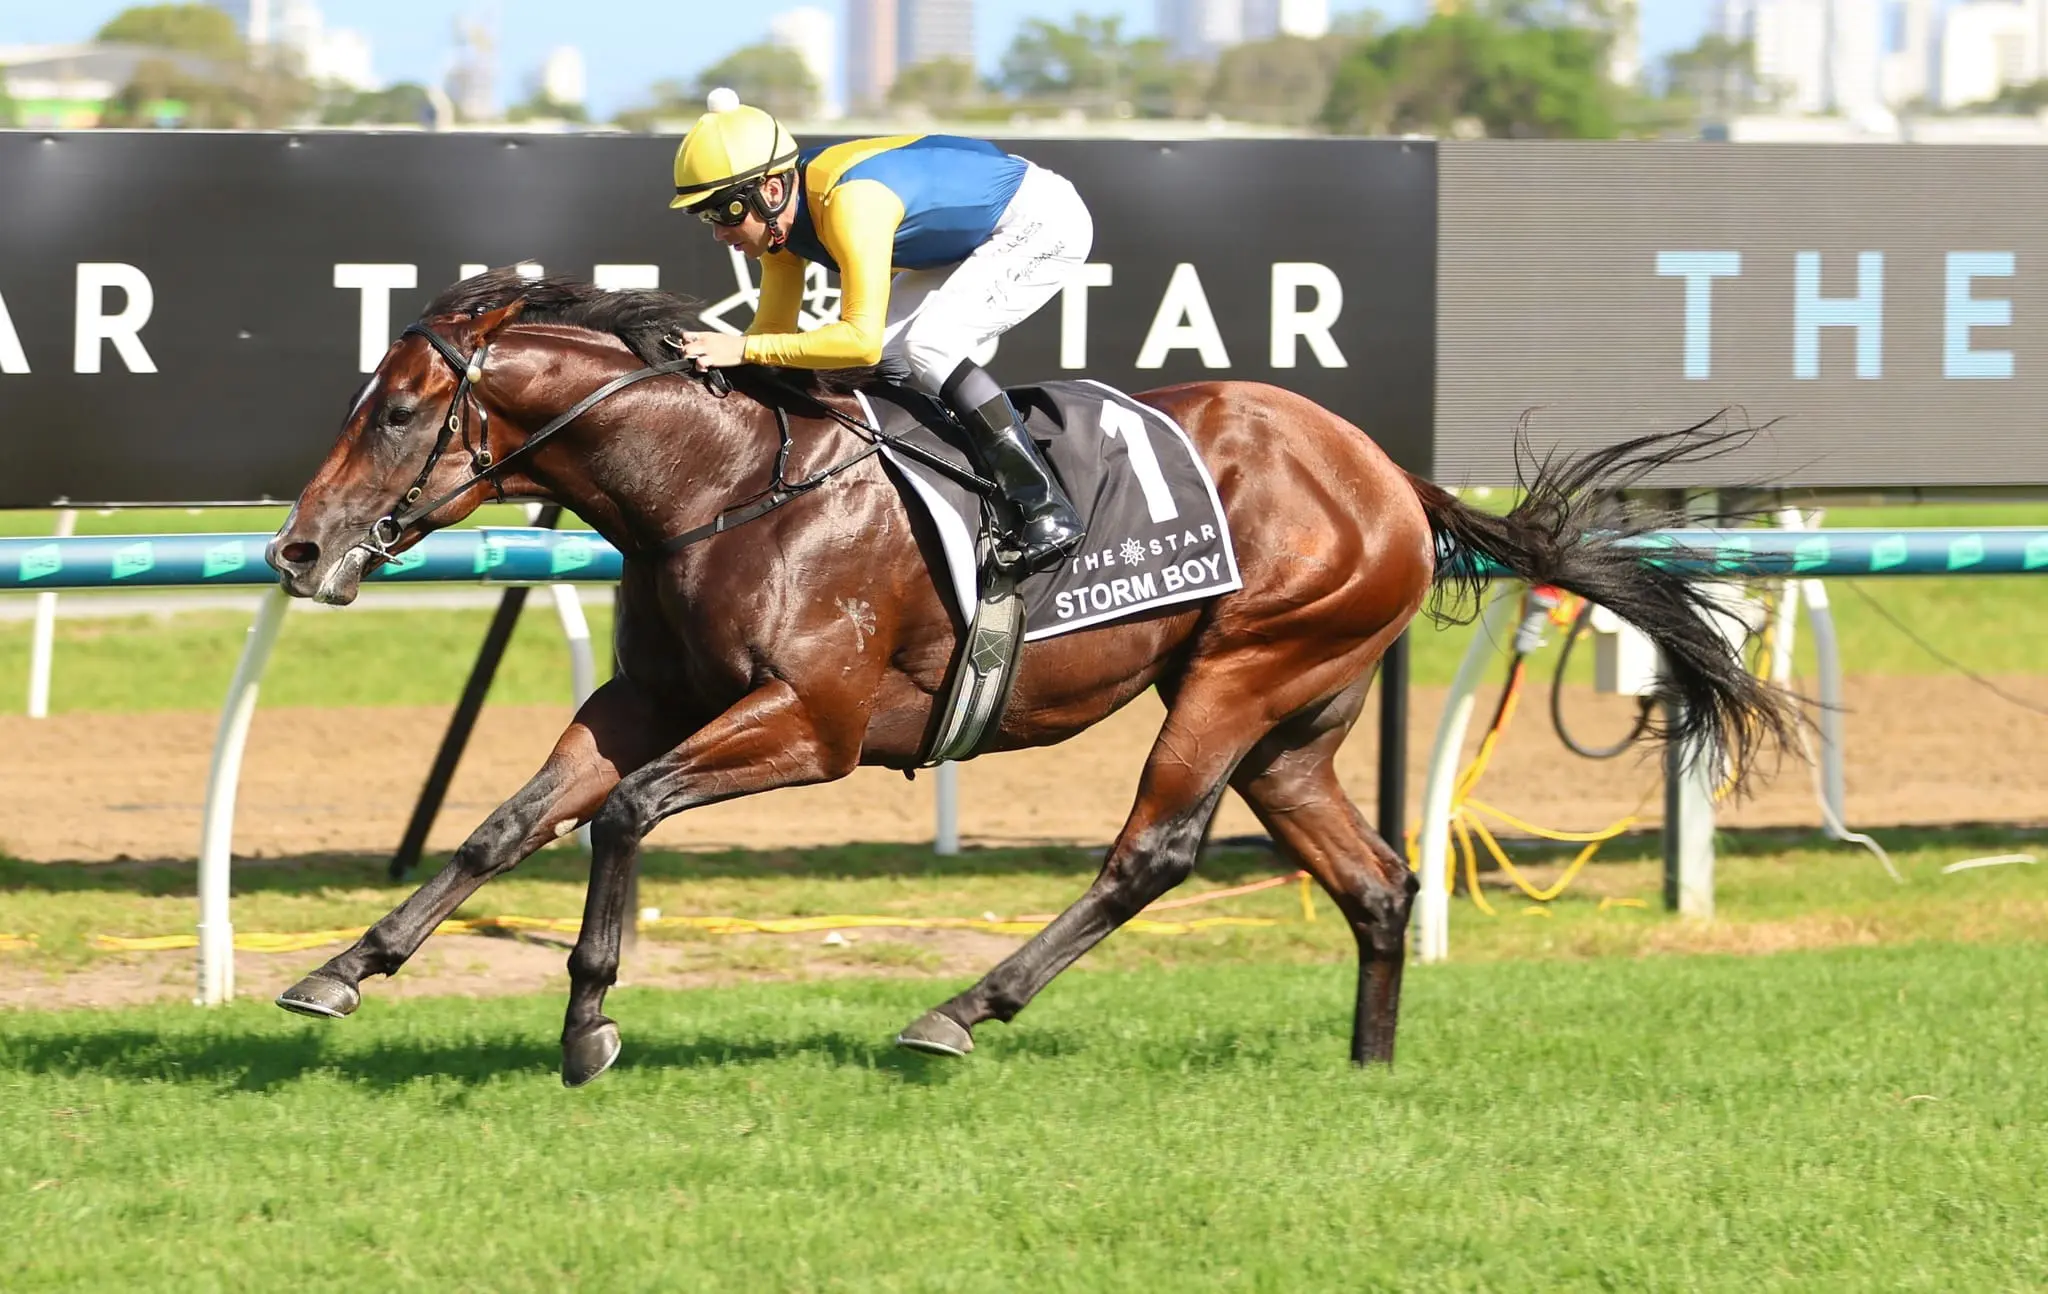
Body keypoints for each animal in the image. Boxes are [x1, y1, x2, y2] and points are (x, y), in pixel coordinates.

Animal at [268, 268, 1794, 1089]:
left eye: (397, 409)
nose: (296, 547)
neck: (718, 483)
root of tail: (1388, 474)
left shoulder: (811, 724)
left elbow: (628, 812)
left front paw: (589, 1022)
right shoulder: (648, 698)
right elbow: (508, 821)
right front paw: (342, 970)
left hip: (1240, 671)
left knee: (1151, 852)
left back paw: (957, 1011)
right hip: (1294, 722)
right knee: (1373, 878)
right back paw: (1368, 1067)